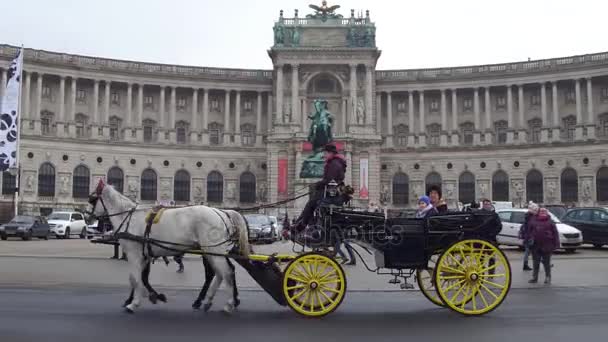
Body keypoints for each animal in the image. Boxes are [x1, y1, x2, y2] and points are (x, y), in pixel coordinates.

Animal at [89, 180, 249, 314]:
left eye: (92, 199)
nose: (88, 218)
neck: (129, 218)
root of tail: (220, 211)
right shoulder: (144, 256)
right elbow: (140, 278)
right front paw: (148, 296)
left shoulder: (134, 254)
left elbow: (136, 279)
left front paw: (134, 303)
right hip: (211, 251)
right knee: (219, 273)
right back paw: (208, 301)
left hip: (214, 250)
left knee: (226, 272)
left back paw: (228, 304)